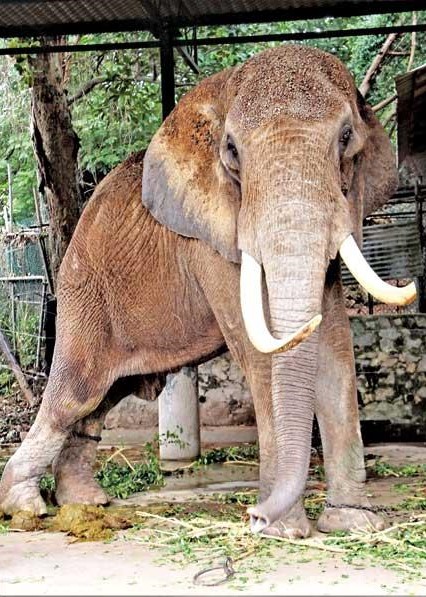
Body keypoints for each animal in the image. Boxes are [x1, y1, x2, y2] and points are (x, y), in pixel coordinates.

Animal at [0, 43, 414, 536]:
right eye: (231, 150)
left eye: (346, 136)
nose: (255, 516)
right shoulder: (211, 240)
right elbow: (260, 350)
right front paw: (284, 531)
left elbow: (335, 345)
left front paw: (354, 522)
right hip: (85, 293)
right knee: (75, 396)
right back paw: (26, 507)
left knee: (103, 399)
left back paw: (87, 502)